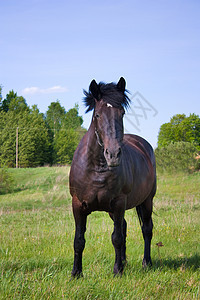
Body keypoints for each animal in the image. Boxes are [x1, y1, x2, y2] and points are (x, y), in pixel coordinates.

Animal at [69, 77, 157, 276]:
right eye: (97, 115)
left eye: (122, 113)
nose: (113, 154)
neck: (96, 168)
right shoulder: (77, 205)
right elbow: (79, 240)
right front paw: (76, 273)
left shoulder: (118, 203)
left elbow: (116, 238)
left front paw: (117, 271)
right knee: (124, 226)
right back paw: (124, 261)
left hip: (147, 201)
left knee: (146, 229)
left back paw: (146, 262)